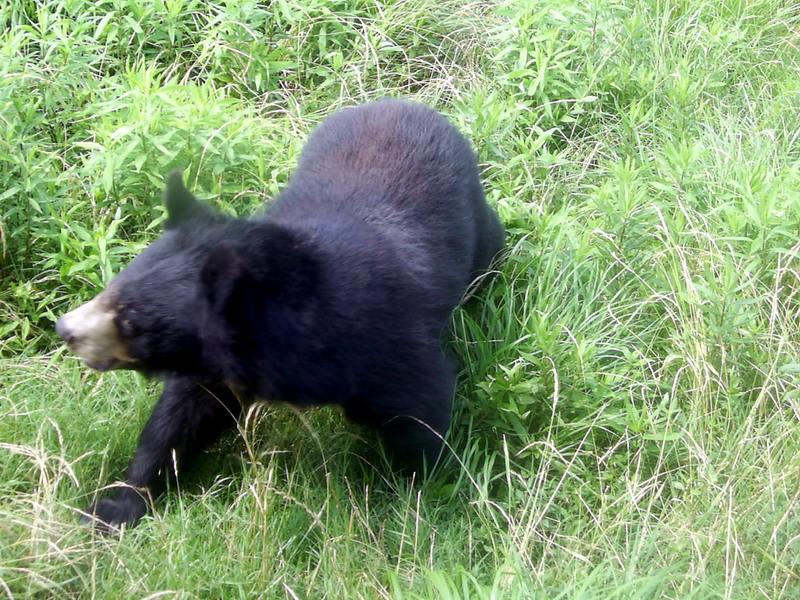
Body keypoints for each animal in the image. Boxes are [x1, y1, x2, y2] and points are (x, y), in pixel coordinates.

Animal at [56, 99, 505, 529]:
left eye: (131, 319)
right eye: (113, 286)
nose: (64, 328)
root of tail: (408, 103)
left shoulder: (385, 341)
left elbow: (422, 408)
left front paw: (421, 496)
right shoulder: (216, 370)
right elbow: (177, 423)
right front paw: (115, 508)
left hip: (482, 231)